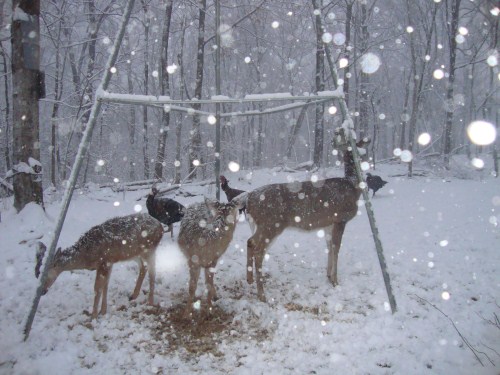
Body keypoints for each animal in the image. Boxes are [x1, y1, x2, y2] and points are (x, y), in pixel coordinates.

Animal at [35, 213, 164, 318]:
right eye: (37, 274)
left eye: (44, 274)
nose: (41, 292)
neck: (86, 255)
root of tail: (161, 227)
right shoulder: (109, 262)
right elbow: (105, 285)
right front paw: (103, 311)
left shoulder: (104, 262)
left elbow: (97, 288)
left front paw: (93, 315)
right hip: (135, 254)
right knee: (143, 267)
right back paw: (133, 295)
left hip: (149, 249)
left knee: (153, 271)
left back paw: (150, 301)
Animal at [235, 133, 372, 302]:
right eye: (362, 148)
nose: (368, 141)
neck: (352, 186)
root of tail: (249, 198)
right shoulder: (340, 219)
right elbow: (336, 248)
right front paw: (335, 281)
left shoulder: (328, 224)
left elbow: (329, 247)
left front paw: (328, 276)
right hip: (271, 224)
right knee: (258, 249)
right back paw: (262, 294)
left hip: (261, 225)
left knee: (250, 242)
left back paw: (249, 279)